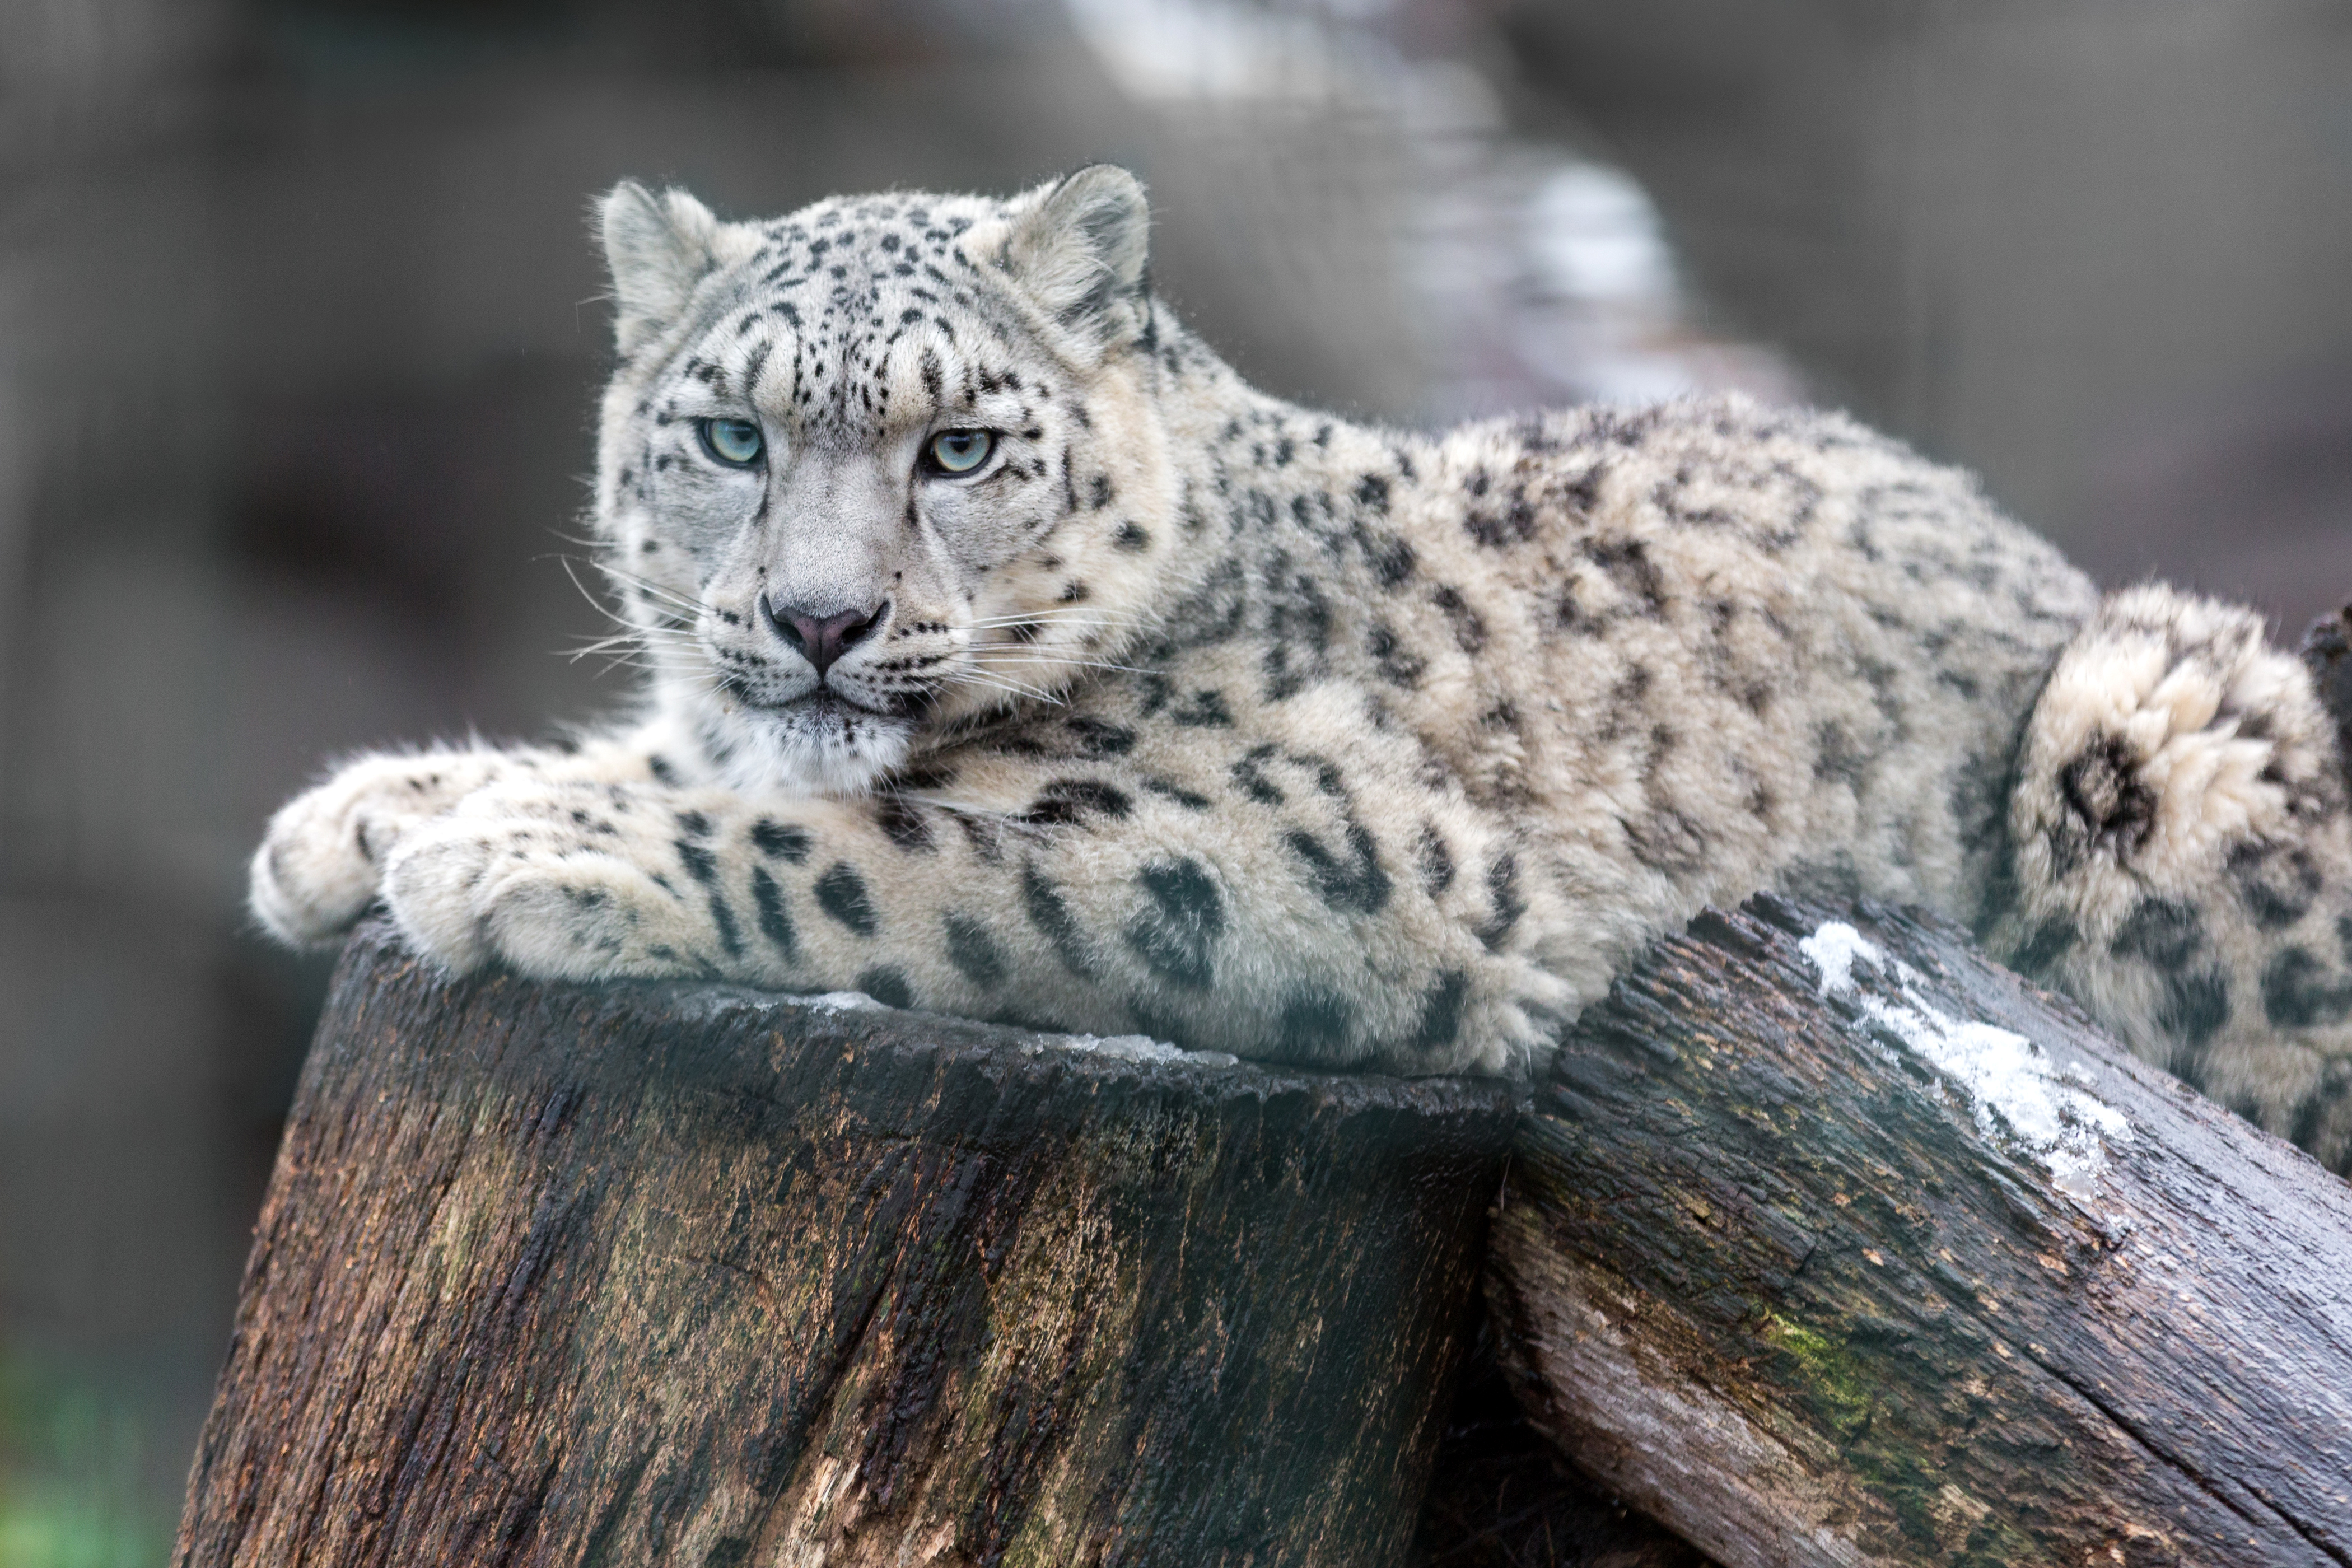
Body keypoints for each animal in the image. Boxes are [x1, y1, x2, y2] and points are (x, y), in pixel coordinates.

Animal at [248, 165, 2352, 1170]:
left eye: (959, 448)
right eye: (729, 436)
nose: (820, 622)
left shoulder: (1333, 848)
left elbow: (882, 848)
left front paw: (517, 860)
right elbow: (696, 762)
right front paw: (368, 814)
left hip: (2160, 717)